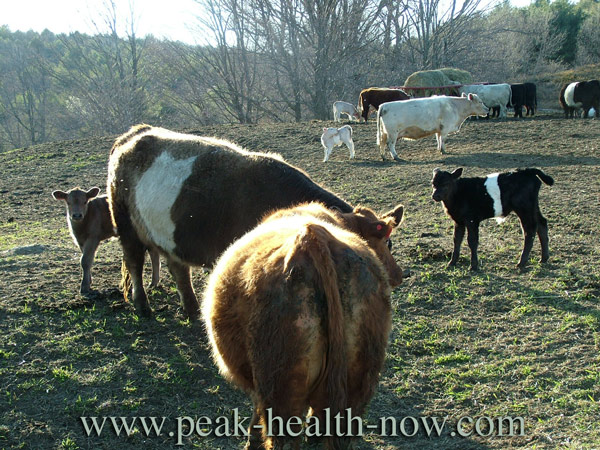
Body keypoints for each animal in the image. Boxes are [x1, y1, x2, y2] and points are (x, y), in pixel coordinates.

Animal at [108, 125, 354, 318]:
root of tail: (135, 133)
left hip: (169, 235)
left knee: (178, 268)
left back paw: (191, 309)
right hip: (126, 226)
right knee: (135, 262)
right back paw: (143, 307)